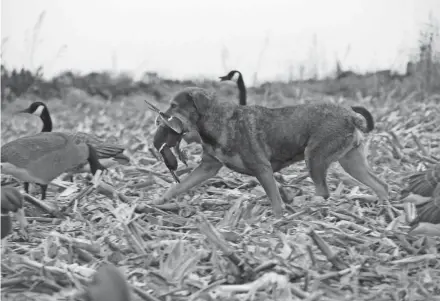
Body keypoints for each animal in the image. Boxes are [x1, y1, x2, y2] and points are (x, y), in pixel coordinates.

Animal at [155, 86, 388, 216]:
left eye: (174, 105)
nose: (158, 119)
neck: (216, 121)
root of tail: (351, 116)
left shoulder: (263, 169)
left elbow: (275, 200)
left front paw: (277, 218)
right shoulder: (208, 167)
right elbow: (180, 185)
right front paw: (160, 200)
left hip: (314, 157)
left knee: (323, 192)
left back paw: (303, 203)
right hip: (351, 162)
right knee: (379, 184)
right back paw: (384, 207)